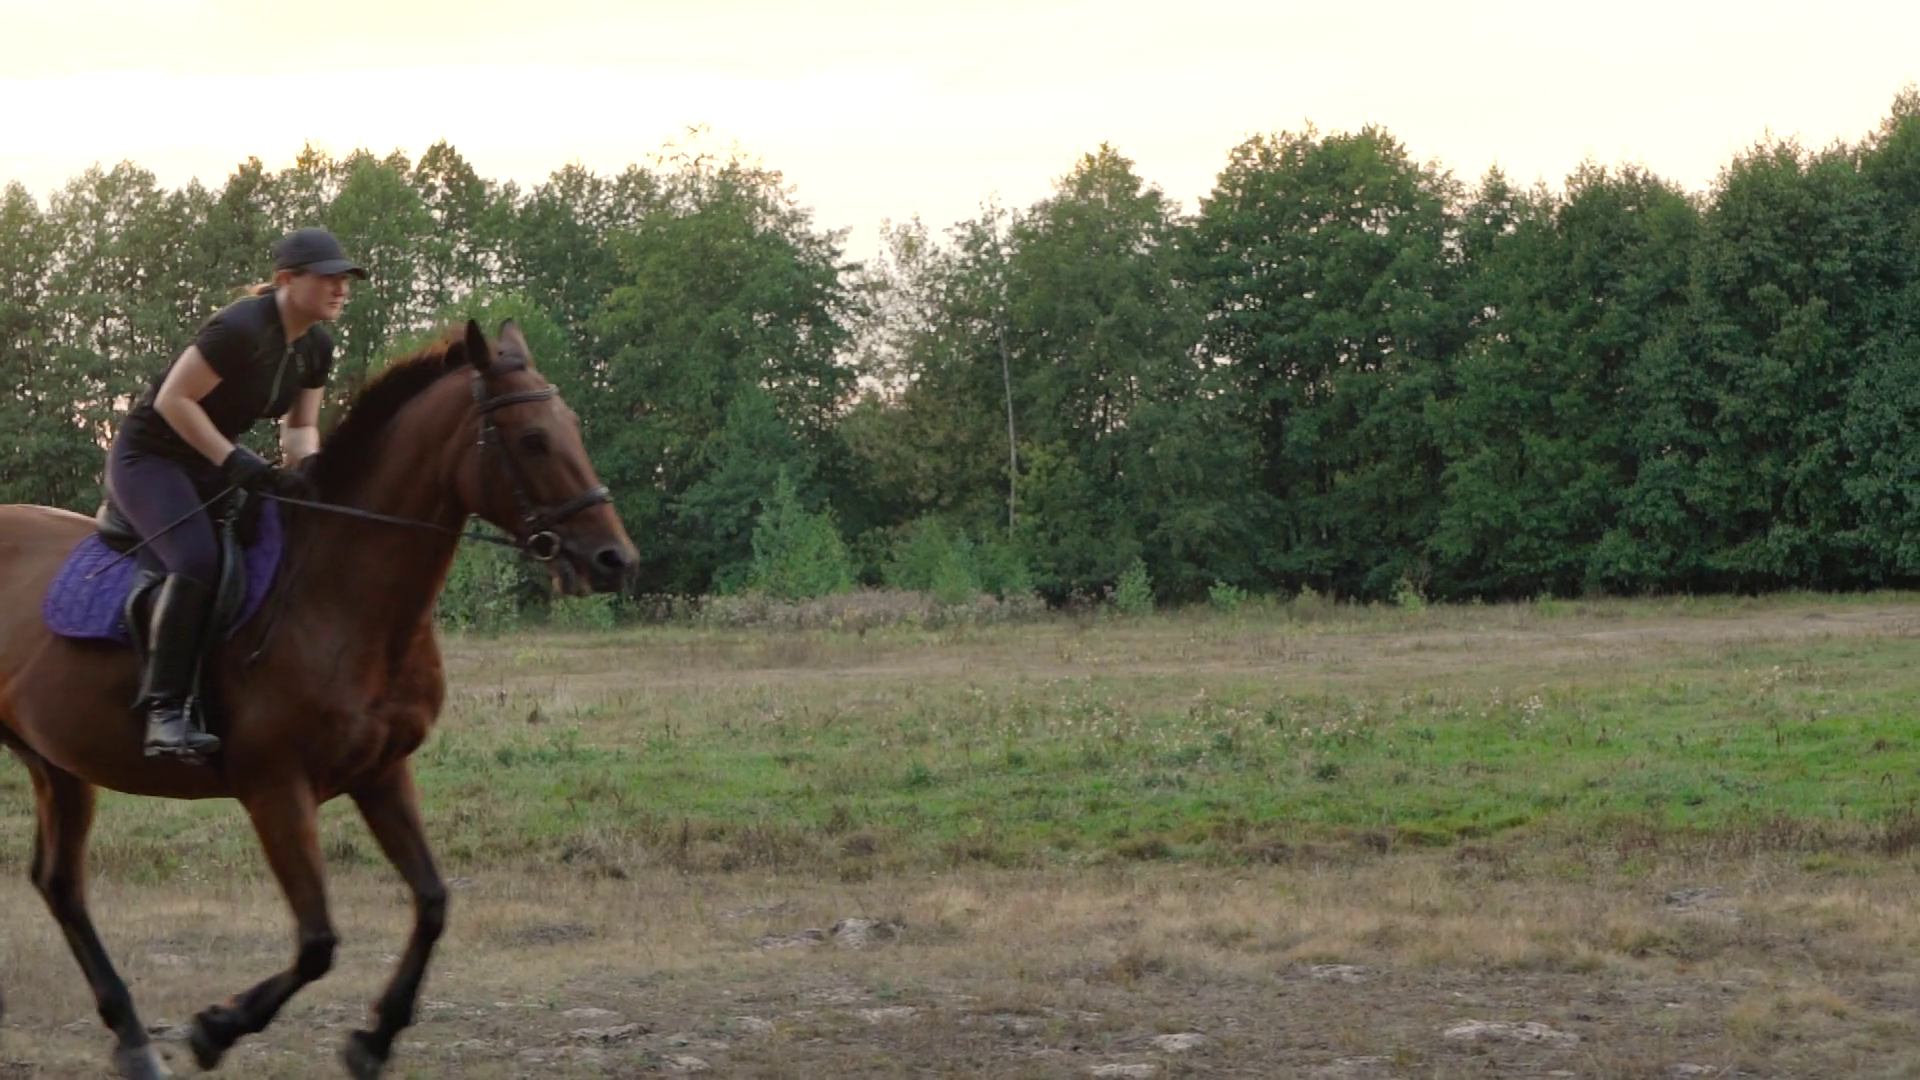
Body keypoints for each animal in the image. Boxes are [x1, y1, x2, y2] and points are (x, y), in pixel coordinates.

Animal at [0, 318, 637, 1079]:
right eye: (534, 439)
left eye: (572, 427)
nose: (614, 560)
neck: (342, 595)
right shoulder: (275, 787)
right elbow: (317, 941)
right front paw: (218, 1028)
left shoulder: (382, 772)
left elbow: (432, 902)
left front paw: (374, 1037)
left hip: (56, 764)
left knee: (60, 884)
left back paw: (130, 1039)